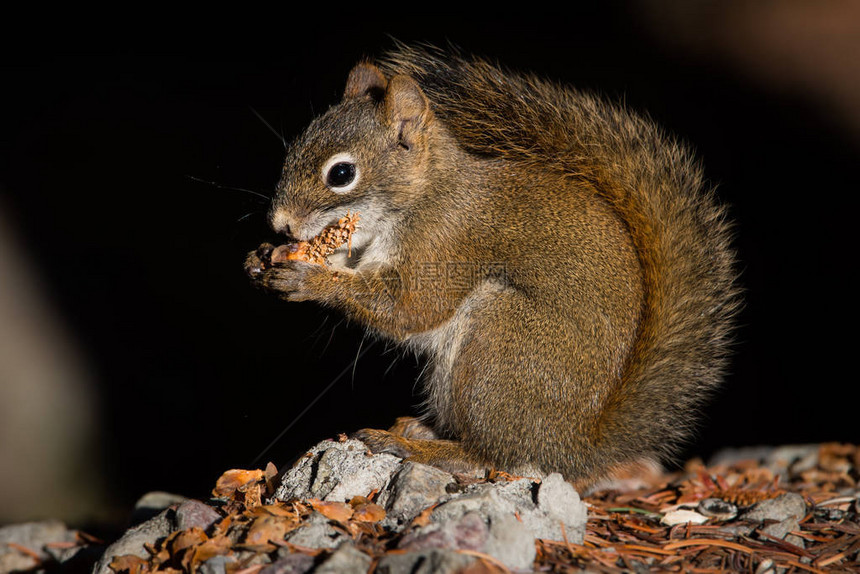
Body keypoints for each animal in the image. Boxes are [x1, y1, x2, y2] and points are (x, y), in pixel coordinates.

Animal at [245, 44, 744, 490]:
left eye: (342, 174)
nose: (280, 223)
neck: (424, 194)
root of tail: (572, 445)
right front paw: (264, 256)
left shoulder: (444, 246)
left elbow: (411, 308)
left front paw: (309, 278)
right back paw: (421, 429)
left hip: (500, 342)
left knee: (490, 454)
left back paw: (421, 447)